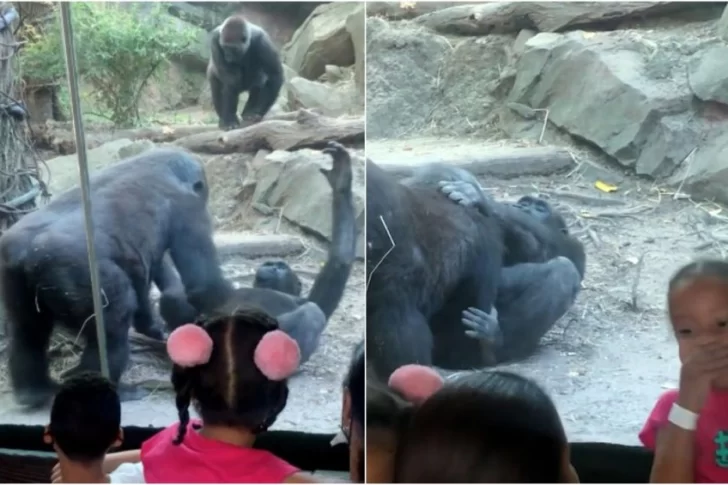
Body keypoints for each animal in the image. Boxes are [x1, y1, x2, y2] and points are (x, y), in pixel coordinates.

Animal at [0, 148, 228, 408]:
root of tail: (28, 253)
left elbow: (156, 274)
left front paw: (156, 326)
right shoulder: (187, 206)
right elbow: (203, 284)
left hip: (12, 271)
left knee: (26, 330)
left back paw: (34, 390)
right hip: (76, 273)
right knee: (114, 322)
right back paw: (103, 388)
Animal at [158, 140, 356, 364]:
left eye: (281, 267)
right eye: (272, 264)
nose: (273, 266)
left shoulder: (312, 299)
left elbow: (339, 263)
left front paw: (342, 183)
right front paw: (341, 181)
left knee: (311, 314)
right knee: (174, 297)